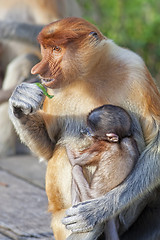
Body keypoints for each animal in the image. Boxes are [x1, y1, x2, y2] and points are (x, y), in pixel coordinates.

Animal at [8, 17, 160, 240]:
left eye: (56, 49)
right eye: (45, 48)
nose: (38, 70)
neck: (89, 75)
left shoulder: (135, 69)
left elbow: (157, 140)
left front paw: (96, 211)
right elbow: (49, 147)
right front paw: (21, 101)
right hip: (59, 224)